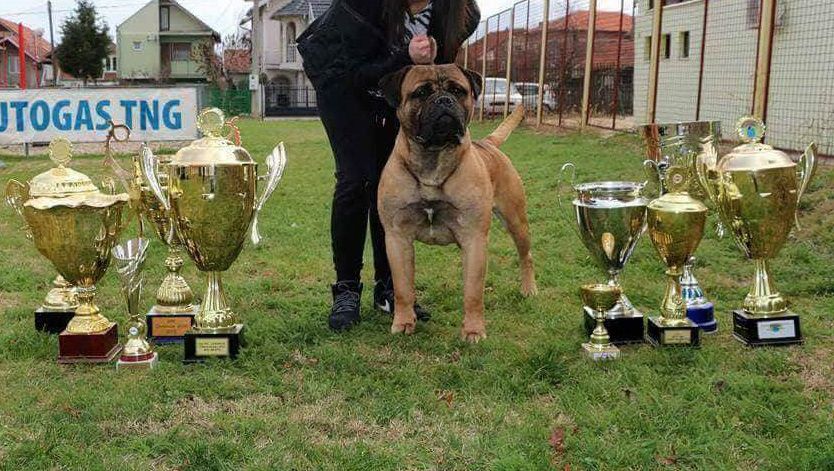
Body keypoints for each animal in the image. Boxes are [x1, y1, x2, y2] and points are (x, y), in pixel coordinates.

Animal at [376, 63, 532, 342]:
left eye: (458, 90)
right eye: (421, 92)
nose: (444, 101)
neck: (433, 158)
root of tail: (488, 144)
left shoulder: (474, 238)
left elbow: (473, 292)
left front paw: (473, 330)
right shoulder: (397, 237)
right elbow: (403, 288)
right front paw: (403, 322)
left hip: (516, 220)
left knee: (526, 255)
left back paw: (529, 289)